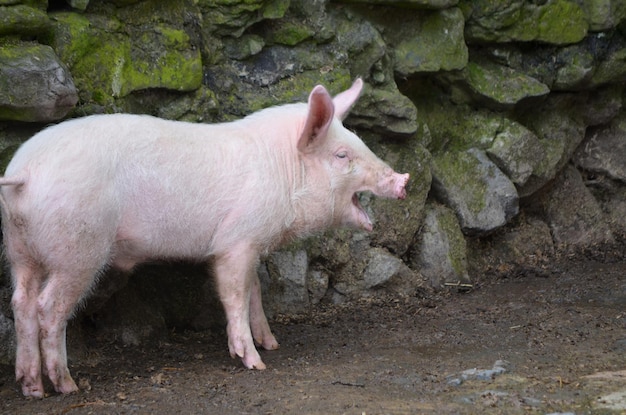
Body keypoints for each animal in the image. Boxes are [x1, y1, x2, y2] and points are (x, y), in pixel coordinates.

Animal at [0, 79, 408, 400]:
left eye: (359, 141)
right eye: (341, 155)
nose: (403, 179)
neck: (285, 170)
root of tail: (24, 172)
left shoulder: (251, 243)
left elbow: (254, 289)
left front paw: (272, 343)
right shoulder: (236, 240)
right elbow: (235, 294)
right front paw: (256, 362)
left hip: (20, 248)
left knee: (21, 302)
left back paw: (31, 387)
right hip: (76, 250)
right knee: (47, 307)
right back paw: (66, 386)